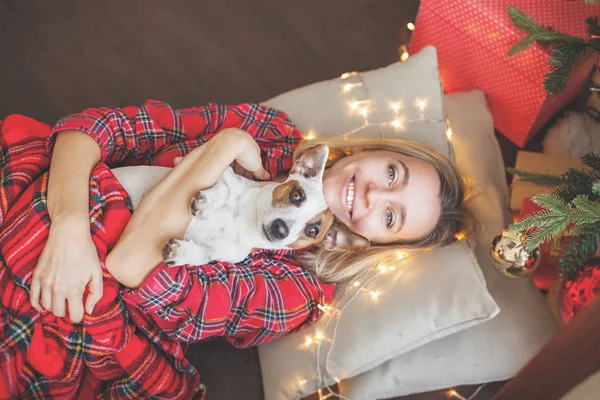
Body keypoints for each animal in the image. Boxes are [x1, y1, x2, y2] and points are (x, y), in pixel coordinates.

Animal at [110, 143, 368, 266]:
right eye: (296, 195)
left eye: (313, 231)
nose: (280, 229)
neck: (245, 222)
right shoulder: (191, 163)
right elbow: (226, 188)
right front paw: (205, 203)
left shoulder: (222, 254)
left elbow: (204, 255)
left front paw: (182, 252)